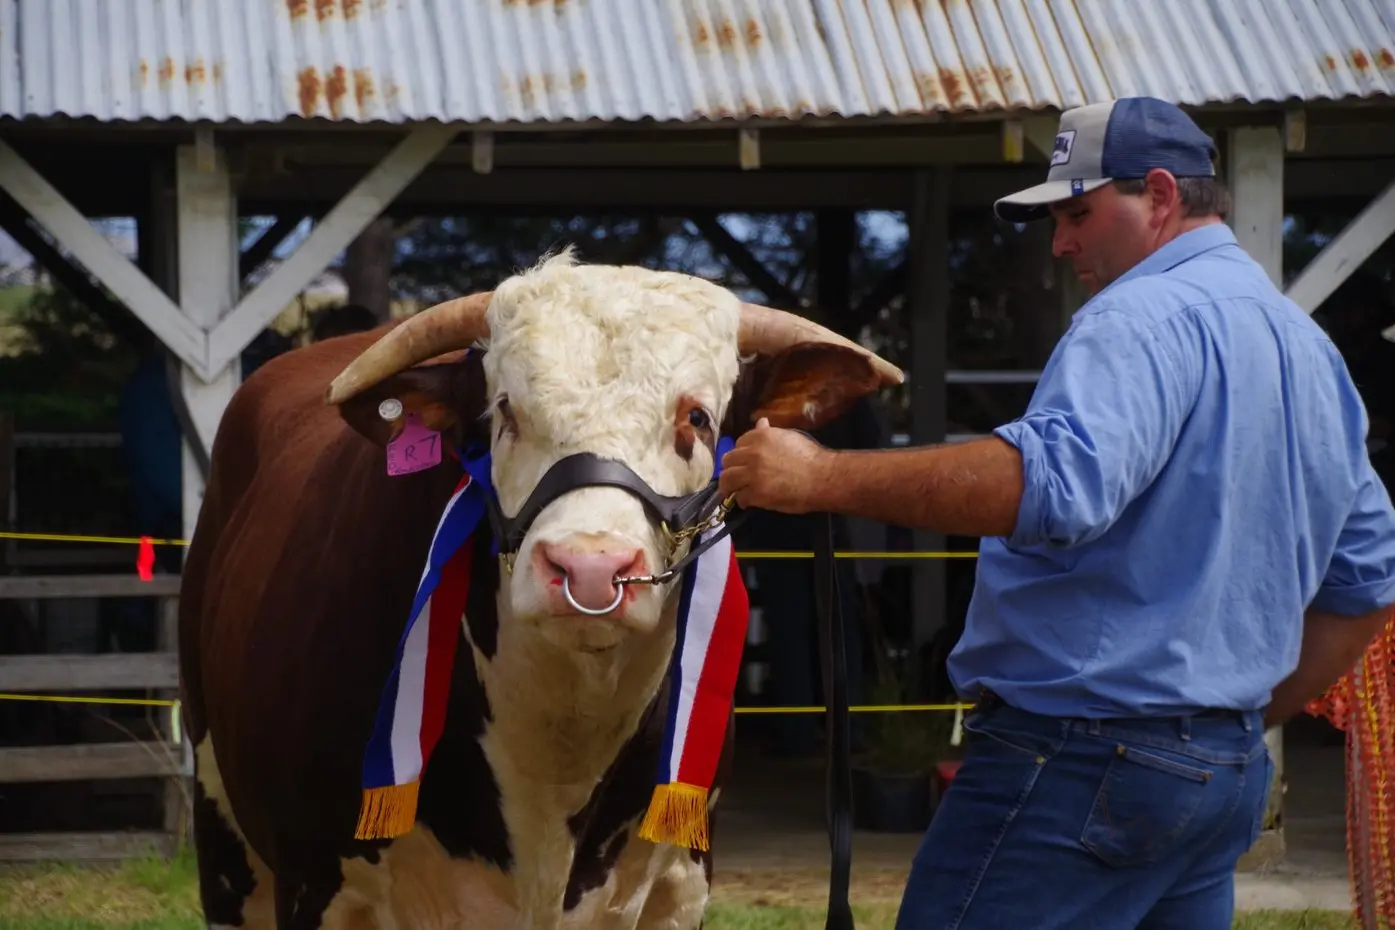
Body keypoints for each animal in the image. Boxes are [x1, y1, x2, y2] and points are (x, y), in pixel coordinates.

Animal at [177, 250, 902, 930]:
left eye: (697, 416)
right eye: (506, 411)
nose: (588, 568)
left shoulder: (679, 888)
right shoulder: (313, 882)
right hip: (225, 850)